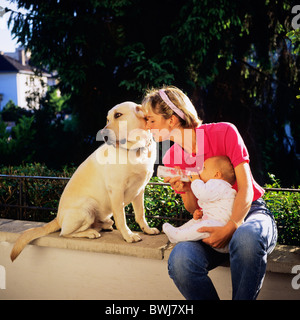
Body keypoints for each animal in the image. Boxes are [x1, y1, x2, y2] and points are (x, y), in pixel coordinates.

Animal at [10, 101, 158, 262]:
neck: (136, 149)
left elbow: (140, 214)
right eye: (107, 119)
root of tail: (58, 217)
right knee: (65, 233)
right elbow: (122, 218)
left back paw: (103, 225)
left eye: (118, 115)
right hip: (88, 207)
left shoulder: (140, 189)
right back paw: (90, 232)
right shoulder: (116, 190)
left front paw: (147, 229)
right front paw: (128, 235)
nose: (103, 135)